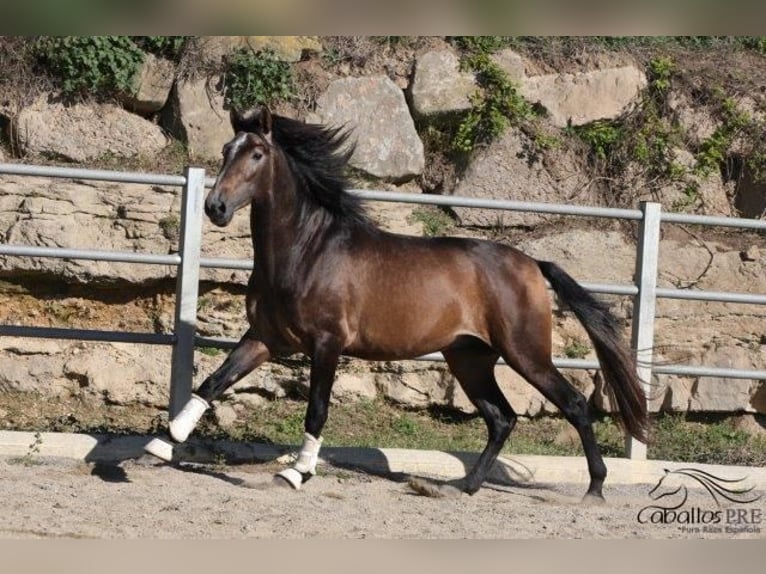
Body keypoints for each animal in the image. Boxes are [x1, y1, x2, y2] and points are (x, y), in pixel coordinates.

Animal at [166, 106, 648, 502]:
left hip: (525, 353)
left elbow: (316, 410)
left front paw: (295, 474)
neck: (307, 251)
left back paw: (594, 488)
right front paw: (163, 442)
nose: (216, 207)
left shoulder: (326, 344)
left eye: (257, 155)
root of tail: (532, 262)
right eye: (227, 150)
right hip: (469, 359)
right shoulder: (265, 338)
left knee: (574, 405)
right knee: (502, 418)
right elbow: (212, 383)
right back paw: (460, 486)